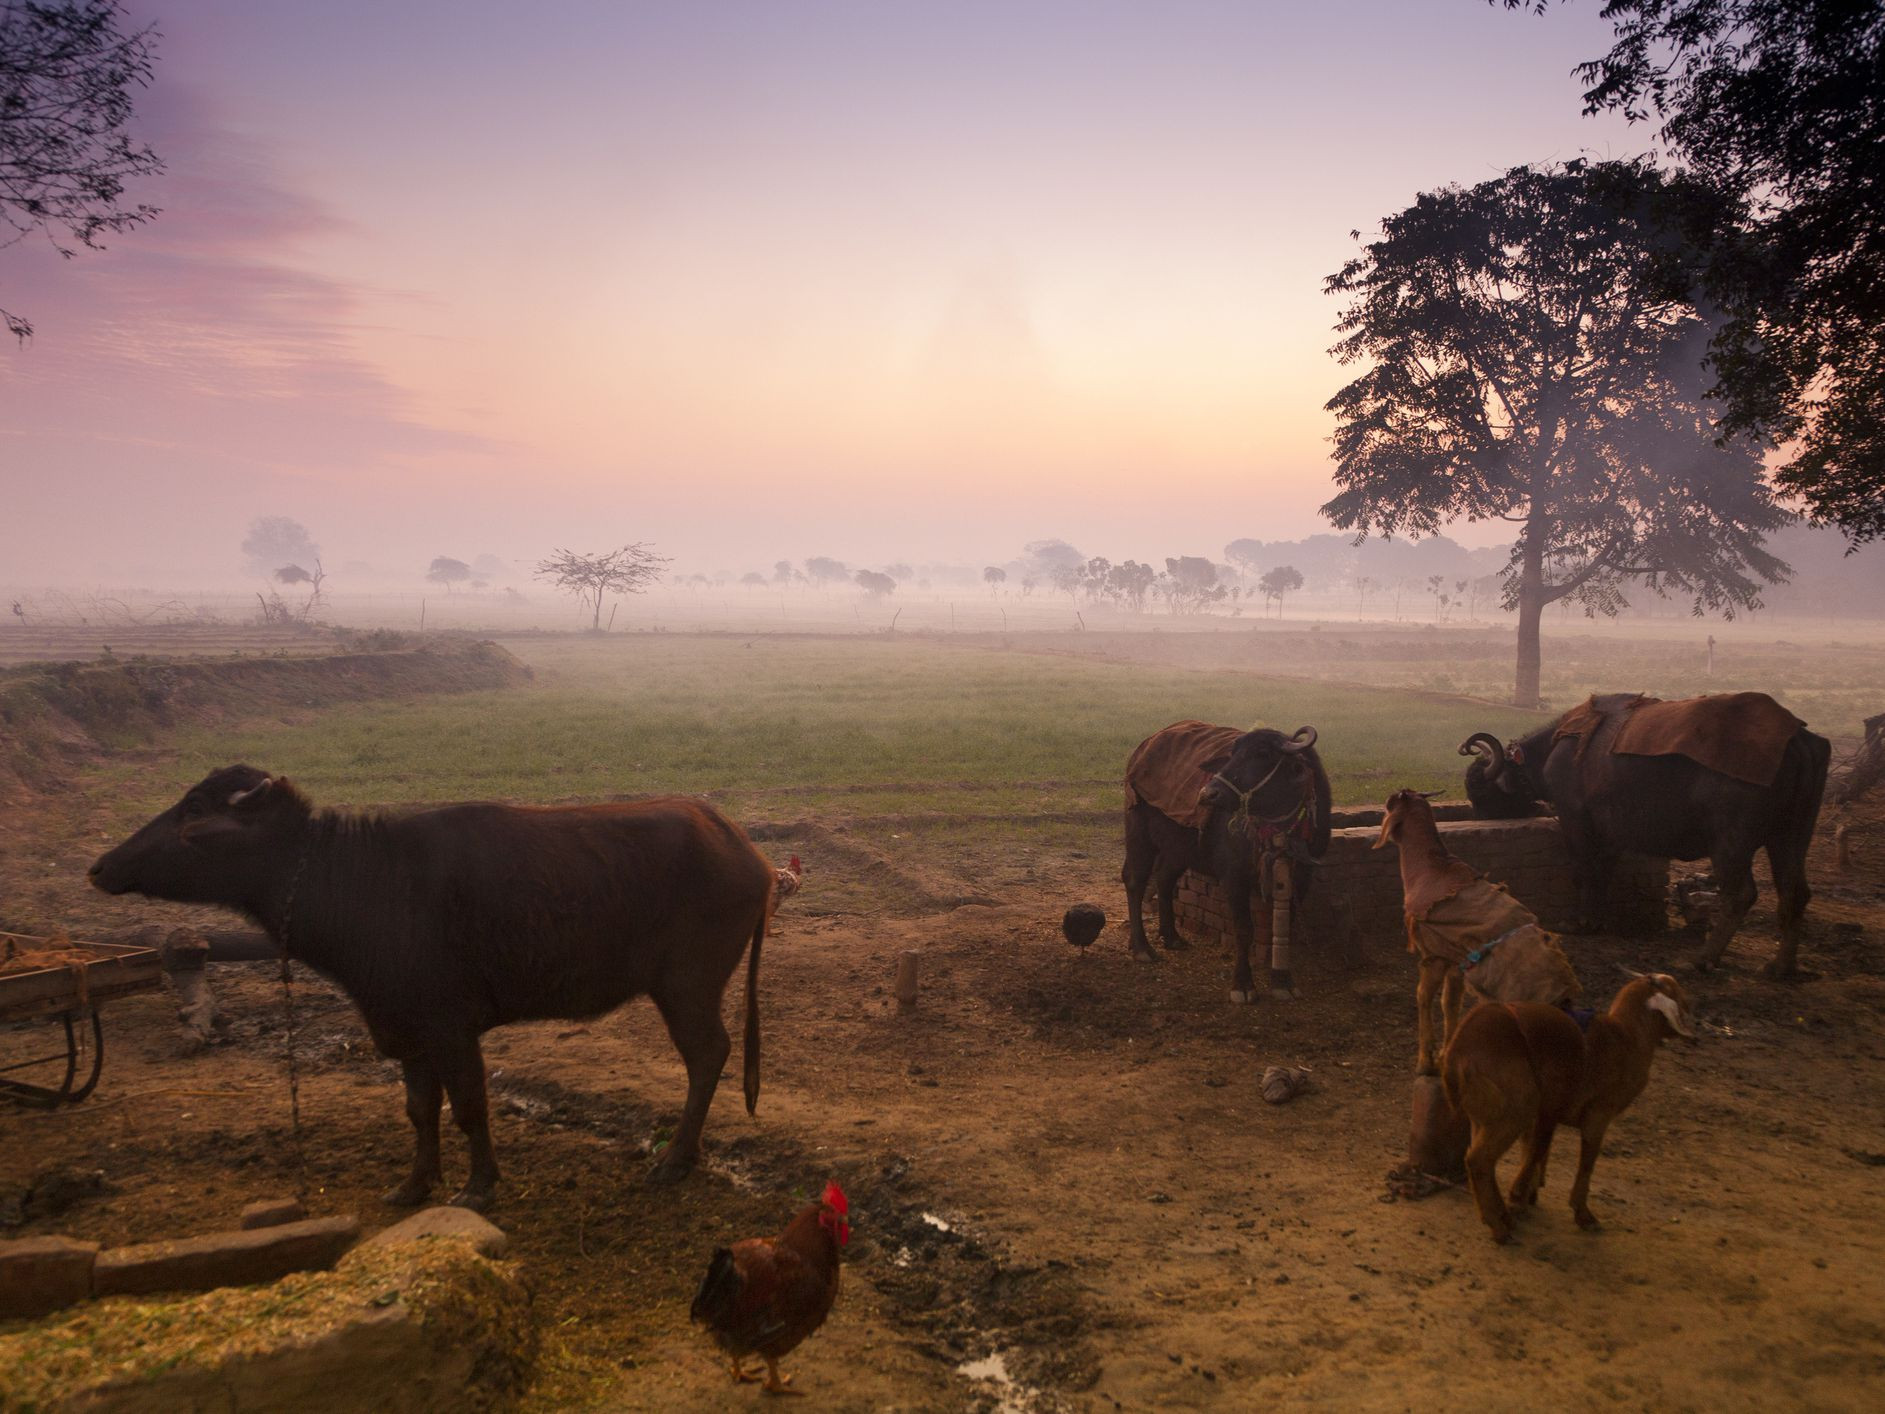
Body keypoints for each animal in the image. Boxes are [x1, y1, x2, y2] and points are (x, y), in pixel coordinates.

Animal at [86, 769, 780, 1214]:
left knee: (708, 1056)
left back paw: (675, 1159)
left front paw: (478, 1186)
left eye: (194, 813)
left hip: (686, 986)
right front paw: (414, 1185)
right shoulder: (404, 1029)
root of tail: (747, 851)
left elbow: (470, 1107)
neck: (361, 882)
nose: (100, 867)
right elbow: (420, 1112)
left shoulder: (451, 1028)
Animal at [1123, 723, 1334, 1002]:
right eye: (1233, 754)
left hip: (1178, 848)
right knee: (1135, 882)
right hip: (1138, 833)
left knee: (1165, 880)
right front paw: (1243, 984)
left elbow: (1285, 925)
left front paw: (1282, 981)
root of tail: (1142, 749)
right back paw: (1142, 948)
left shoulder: (1302, 876)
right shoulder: (1233, 877)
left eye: (1263, 754)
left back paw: (1172, 937)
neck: (1279, 827)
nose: (1208, 793)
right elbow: (1243, 929)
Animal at [1372, 791, 1575, 1078]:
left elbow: (1423, 996)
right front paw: (1445, 1055)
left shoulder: (1434, 955)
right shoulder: (1457, 959)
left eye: (1392, 803)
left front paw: (1425, 1062)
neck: (1429, 869)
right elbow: (1450, 1003)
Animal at [1440, 980, 1696, 1244]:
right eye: (1675, 991)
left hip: (1485, 1113)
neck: (1628, 1038)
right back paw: (1499, 1228)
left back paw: (1501, 1217)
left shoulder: (1547, 1112)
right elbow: (1585, 1162)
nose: (1691, 1014)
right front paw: (1582, 1215)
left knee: (1479, 1158)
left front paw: (1523, 1197)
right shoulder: (1597, 1112)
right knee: (1478, 1160)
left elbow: (1535, 1150)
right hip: (1516, 1106)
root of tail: (1455, 1056)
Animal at [1462, 693, 1832, 972]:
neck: (1561, 746)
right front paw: (1596, 920)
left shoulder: (1574, 817)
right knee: (1795, 891)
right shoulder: (1611, 833)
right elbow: (1602, 872)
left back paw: (1703, 958)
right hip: (1792, 836)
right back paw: (1781, 966)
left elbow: (1583, 870)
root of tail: (1795, 740)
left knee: (1740, 894)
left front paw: (1578, 922)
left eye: (1482, 792)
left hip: (1731, 843)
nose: (1480, 817)